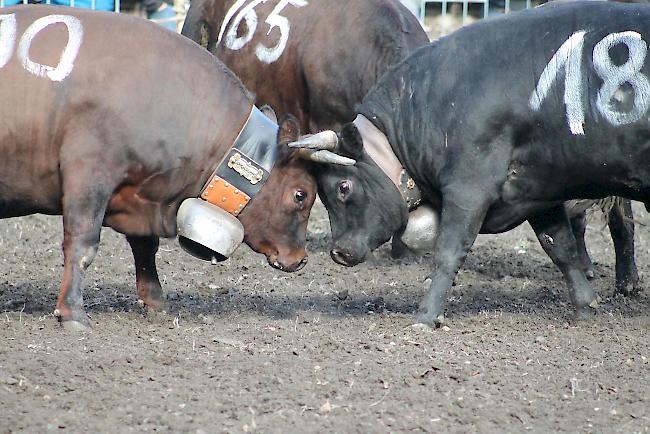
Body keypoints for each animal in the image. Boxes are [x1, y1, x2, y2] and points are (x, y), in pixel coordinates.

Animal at [1, 5, 340, 328]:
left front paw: (155, 301)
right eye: (301, 195)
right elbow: (82, 244)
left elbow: (145, 247)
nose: (300, 258)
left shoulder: (140, 191)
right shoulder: (88, 175)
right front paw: (72, 311)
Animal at [292, 0, 648, 326]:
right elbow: (559, 246)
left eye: (343, 187)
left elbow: (448, 252)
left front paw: (426, 316)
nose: (338, 252)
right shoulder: (536, 189)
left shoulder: (469, 189)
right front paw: (586, 306)